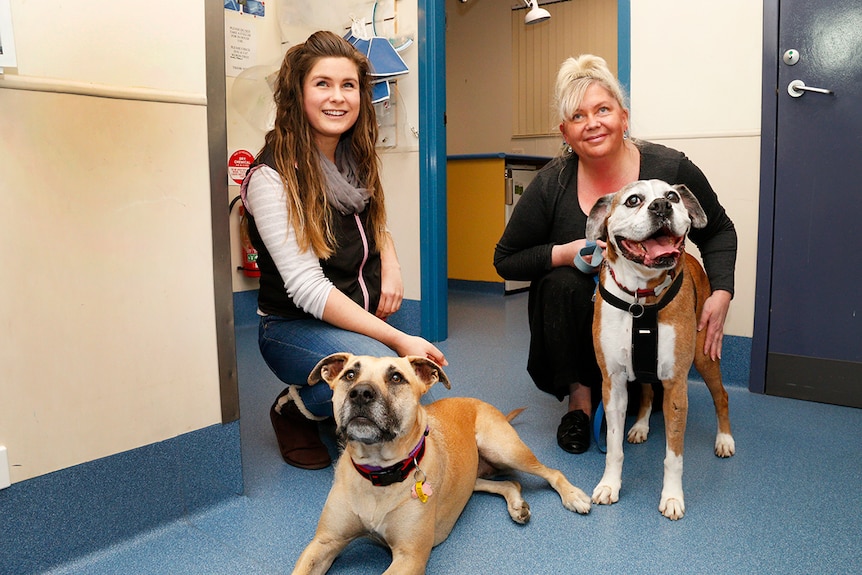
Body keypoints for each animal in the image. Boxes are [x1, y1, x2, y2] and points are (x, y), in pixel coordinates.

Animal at [290, 352, 592, 575]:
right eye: (349, 375)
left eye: (396, 377)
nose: (360, 393)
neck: (378, 475)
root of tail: (480, 402)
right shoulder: (323, 543)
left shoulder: (409, 558)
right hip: (472, 476)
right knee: (509, 482)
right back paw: (516, 504)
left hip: (504, 448)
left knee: (551, 472)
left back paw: (573, 495)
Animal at [588, 180, 736, 520]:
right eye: (633, 200)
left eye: (673, 196)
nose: (661, 206)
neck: (640, 297)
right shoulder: (613, 384)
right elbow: (613, 448)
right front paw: (609, 485)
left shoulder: (676, 386)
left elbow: (673, 456)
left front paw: (671, 497)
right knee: (645, 392)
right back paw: (641, 425)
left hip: (704, 358)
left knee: (721, 396)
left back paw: (724, 440)